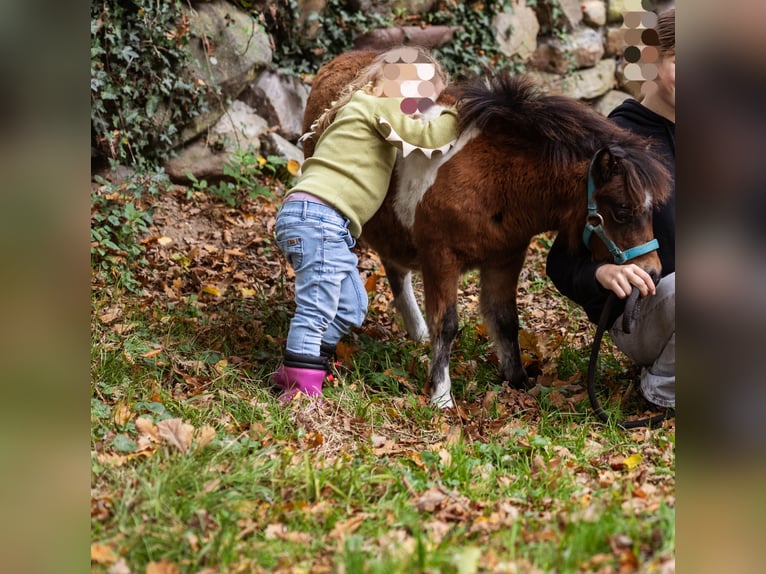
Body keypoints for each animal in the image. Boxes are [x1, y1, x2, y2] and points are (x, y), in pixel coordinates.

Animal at [301, 50, 671, 408]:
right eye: (621, 210)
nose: (652, 272)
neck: (494, 177)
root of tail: (338, 63)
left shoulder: (505, 259)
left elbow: (506, 320)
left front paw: (518, 381)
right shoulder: (440, 259)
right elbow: (447, 325)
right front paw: (441, 396)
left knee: (395, 270)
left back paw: (416, 332)